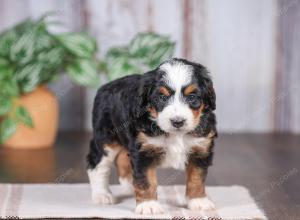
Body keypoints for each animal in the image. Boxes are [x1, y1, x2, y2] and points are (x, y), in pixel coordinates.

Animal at [86, 57, 216, 214]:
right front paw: (148, 205)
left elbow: (197, 177)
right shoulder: (143, 151)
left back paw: (129, 187)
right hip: (106, 139)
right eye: (162, 98)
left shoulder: (200, 149)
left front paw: (198, 201)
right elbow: (146, 179)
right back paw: (102, 194)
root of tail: (105, 87)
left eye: (192, 97)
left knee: (123, 159)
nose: (177, 122)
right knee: (97, 165)